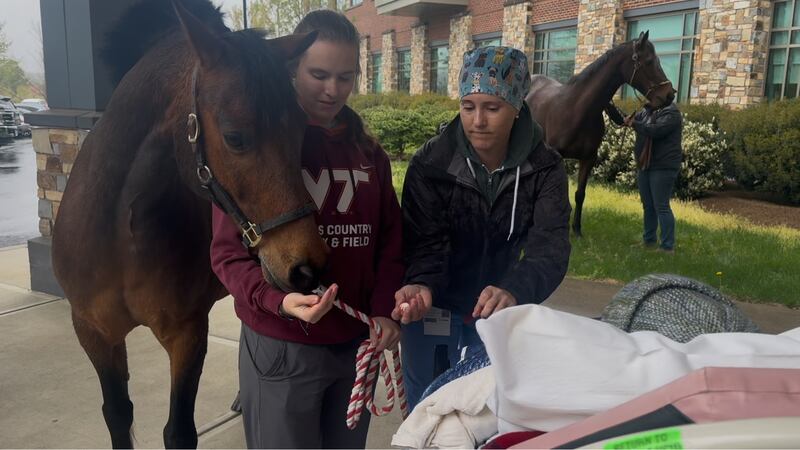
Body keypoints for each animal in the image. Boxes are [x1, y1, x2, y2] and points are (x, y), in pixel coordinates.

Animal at [51, 0, 328, 447]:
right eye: (234, 136)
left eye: (301, 127)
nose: (308, 267)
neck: (122, 236)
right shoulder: (94, 331)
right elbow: (118, 414)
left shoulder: (186, 334)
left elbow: (179, 430)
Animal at [525, 31, 675, 236]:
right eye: (649, 61)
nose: (669, 94)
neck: (577, 108)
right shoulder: (558, 157)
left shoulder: (589, 158)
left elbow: (579, 194)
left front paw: (576, 230)